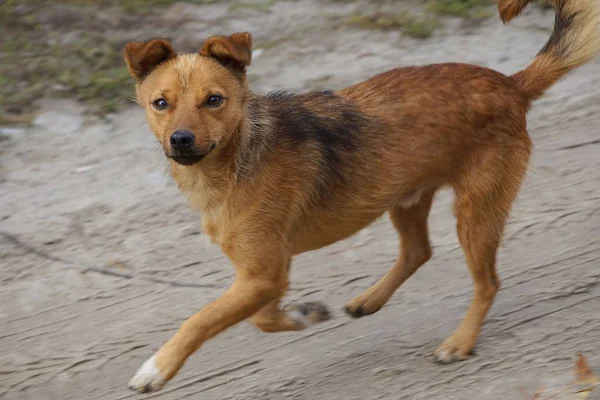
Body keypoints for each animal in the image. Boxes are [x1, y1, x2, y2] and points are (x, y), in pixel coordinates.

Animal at [123, 0, 600, 394]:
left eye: (214, 100)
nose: (181, 140)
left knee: (487, 283)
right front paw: (306, 314)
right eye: (161, 103)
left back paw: (459, 342)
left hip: (475, 213)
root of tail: (511, 84)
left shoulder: (263, 275)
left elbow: (203, 320)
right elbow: (262, 317)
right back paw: (369, 300)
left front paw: (156, 368)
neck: (233, 161)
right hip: (403, 198)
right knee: (418, 252)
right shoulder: (264, 273)